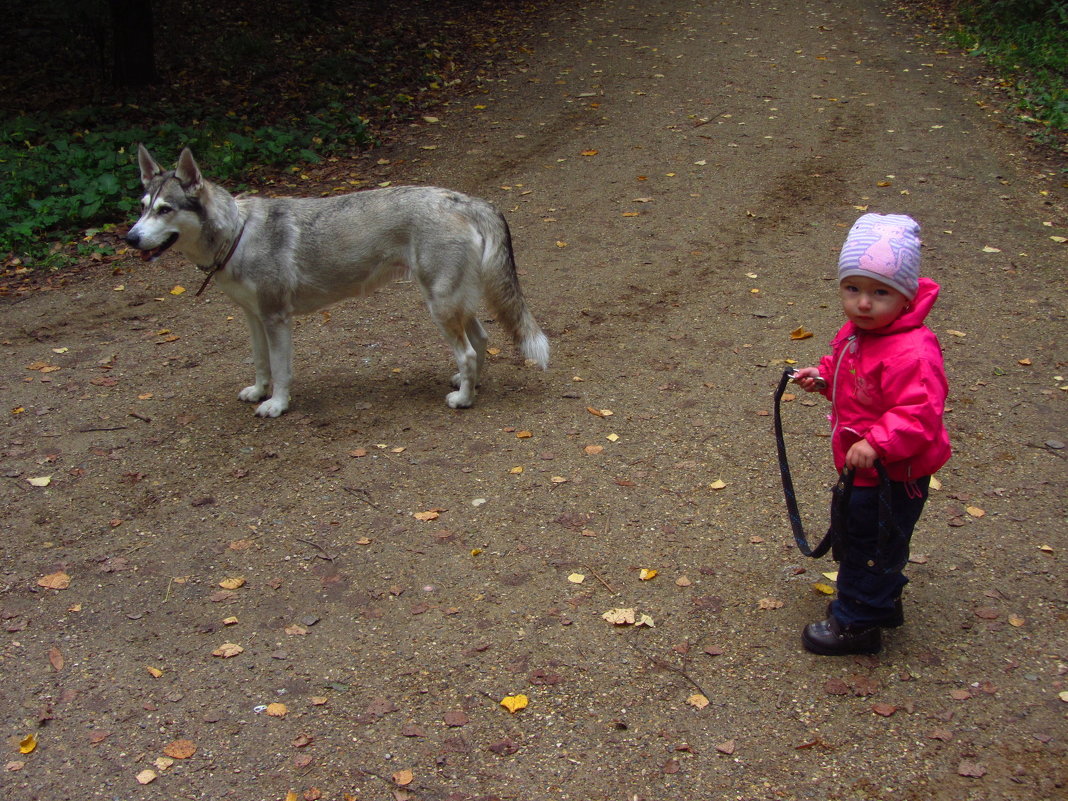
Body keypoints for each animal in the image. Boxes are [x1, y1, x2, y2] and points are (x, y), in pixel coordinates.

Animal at [124, 146, 551, 416]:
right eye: (143, 208)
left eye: (165, 210)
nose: (130, 238)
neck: (238, 232)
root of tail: (467, 199)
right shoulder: (253, 318)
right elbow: (261, 363)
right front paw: (259, 392)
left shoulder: (277, 319)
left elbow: (280, 369)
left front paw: (277, 405)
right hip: (451, 301)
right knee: (479, 341)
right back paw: (468, 384)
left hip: (440, 304)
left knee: (468, 351)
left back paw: (463, 400)